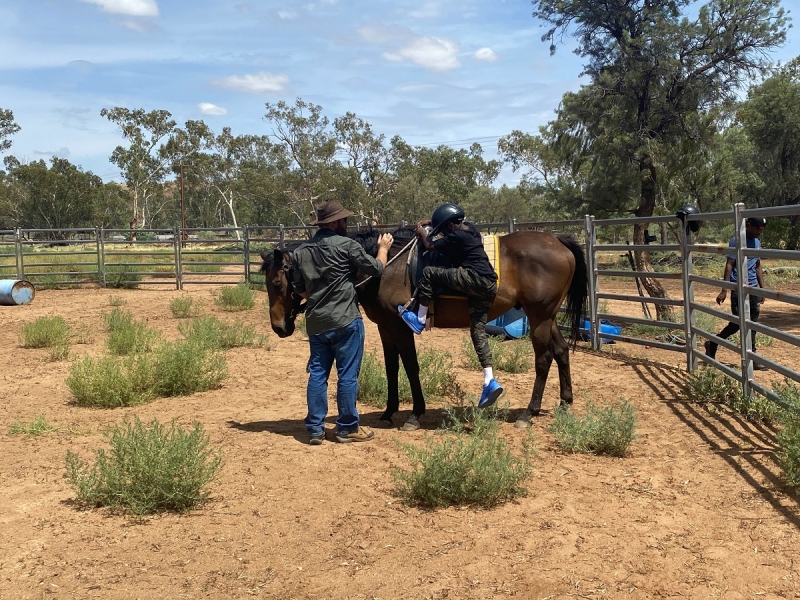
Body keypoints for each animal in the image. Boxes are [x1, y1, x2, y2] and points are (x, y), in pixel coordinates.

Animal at [262, 226, 588, 432]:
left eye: (277, 282)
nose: (279, 326)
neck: (387, 267)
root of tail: (559, 241)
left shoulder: (400, 328)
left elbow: (410, 367)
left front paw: (415, 414)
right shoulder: (386, 327)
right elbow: (392, 368)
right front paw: (388, 412)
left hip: (540, 317)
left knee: (543, 359)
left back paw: (528, 413)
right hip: (547, 318)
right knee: (561, 352)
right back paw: (564, 402)